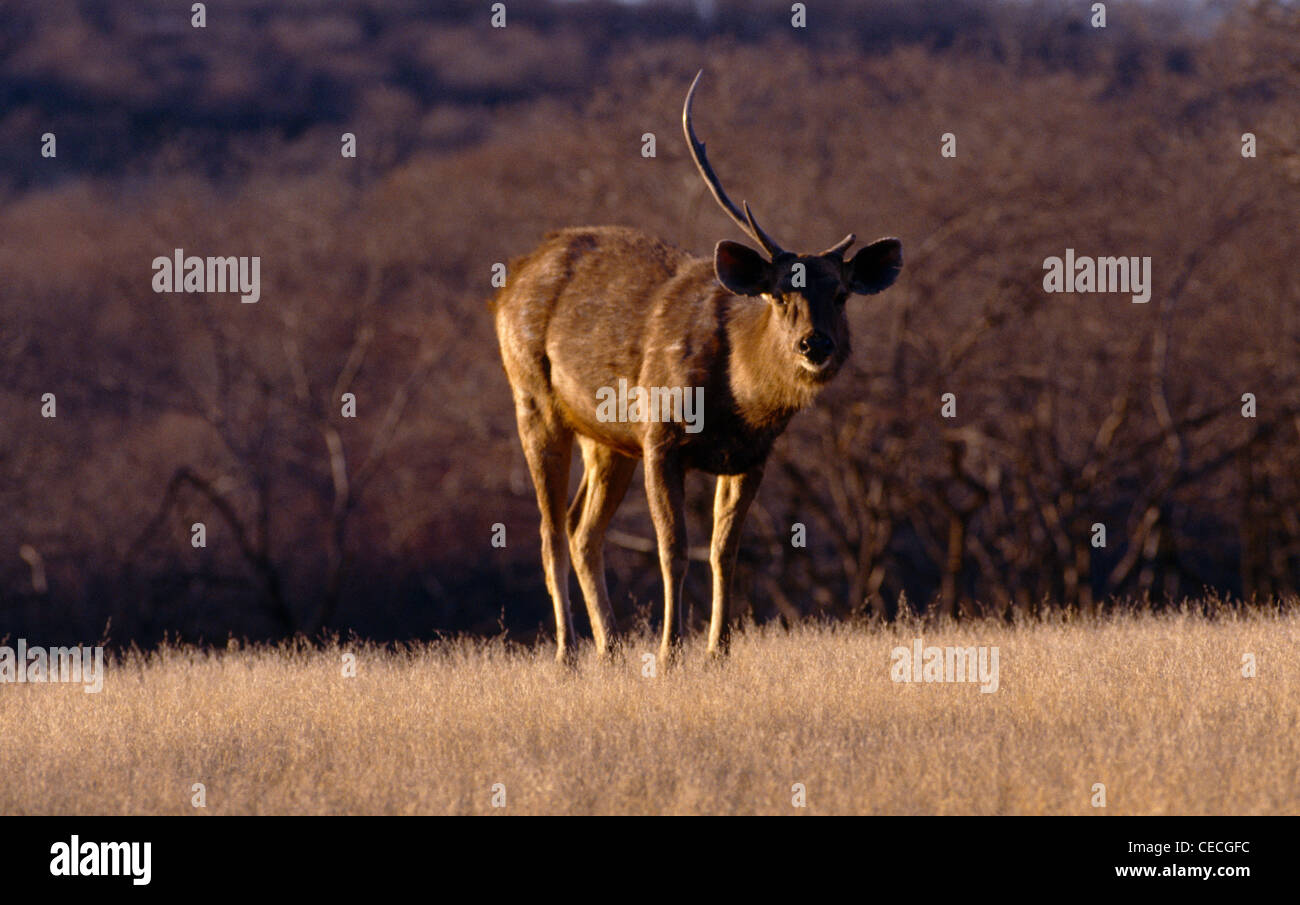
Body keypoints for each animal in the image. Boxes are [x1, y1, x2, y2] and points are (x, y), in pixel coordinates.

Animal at [492, 71, 902, 665]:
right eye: (779, 294)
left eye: (842, 294)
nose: (815, 344)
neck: (737, 400)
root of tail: (508, 283)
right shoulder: (661, 435)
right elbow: (674, 549)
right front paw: (670, 654)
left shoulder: (750, 456)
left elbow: (723, 551)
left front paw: (718, 651)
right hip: (533, 397)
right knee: (549, 530)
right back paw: (569, 654)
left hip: (607, 438)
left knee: (580, 528)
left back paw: (611, 649)